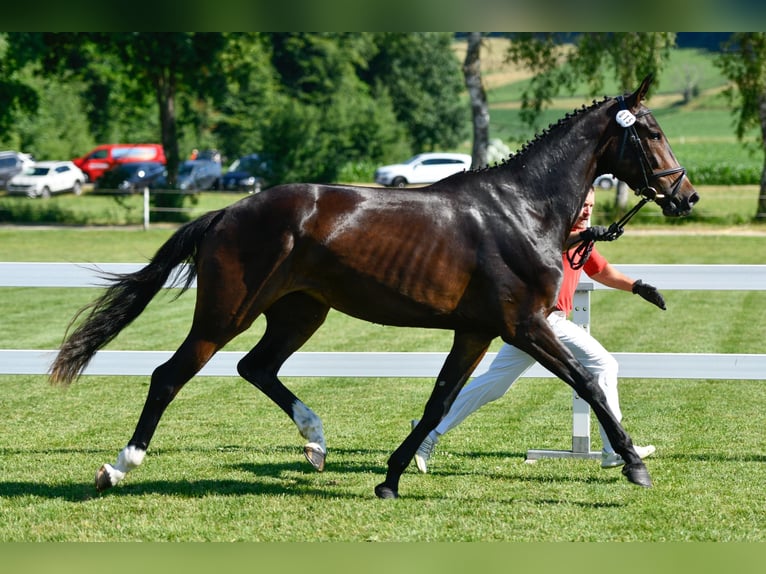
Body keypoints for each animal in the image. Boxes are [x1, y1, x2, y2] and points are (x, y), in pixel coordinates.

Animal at [50, 74, 698, 499]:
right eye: (651, 131)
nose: (686, 196)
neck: (521, 209)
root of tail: (227, 212)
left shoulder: (476, 332)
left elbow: (440, 399)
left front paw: (389, 478)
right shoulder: (524, 325)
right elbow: (586, 385)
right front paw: (634, 464)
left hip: (299, 313)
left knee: (256, 367)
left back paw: (315, 442)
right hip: (226, 312)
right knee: (170, 375)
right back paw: (118, 467)